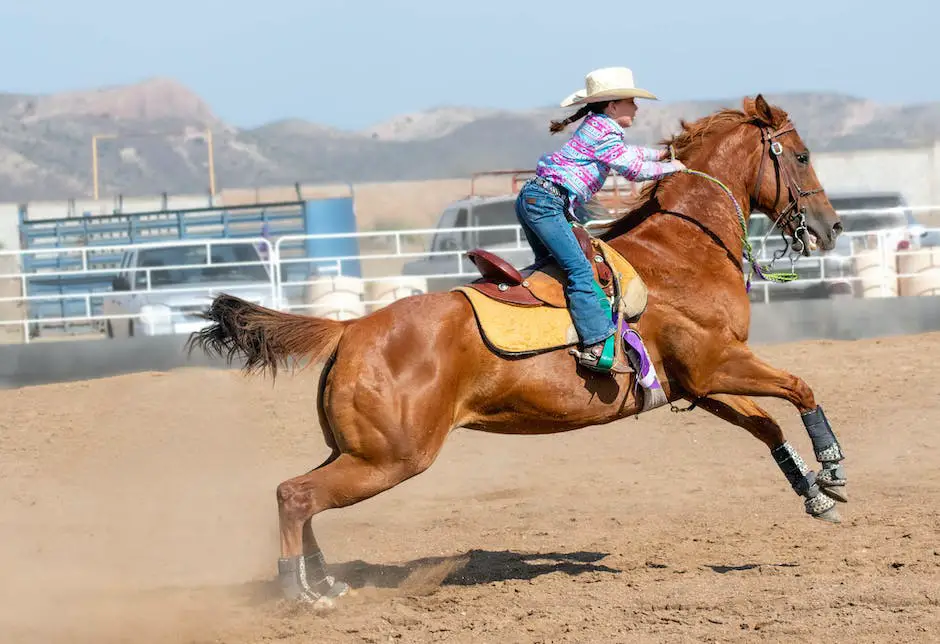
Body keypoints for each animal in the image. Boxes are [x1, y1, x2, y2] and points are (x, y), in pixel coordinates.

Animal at [187, 93, 848, 608]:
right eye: (802, 155)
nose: (830, 227)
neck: (683, 251)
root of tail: (350, 329)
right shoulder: (718, 365)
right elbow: (800, 388)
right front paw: (834, 464)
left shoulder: (700, 384)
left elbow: (765, 426)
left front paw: (817, 493)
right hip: (391, 458)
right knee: (295, 496)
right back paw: (301, 593)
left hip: (357, 450)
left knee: (301, 496)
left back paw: (323, 583)